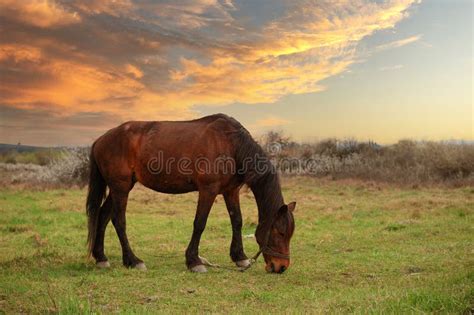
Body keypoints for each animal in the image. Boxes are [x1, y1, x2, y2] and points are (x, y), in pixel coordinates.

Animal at [84, 114, 292, 274]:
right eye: (280, 232)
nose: (281, 267)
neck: (230, 143)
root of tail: (100, 140)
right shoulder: (208, 190)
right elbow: (200, 223)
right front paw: (194, 261)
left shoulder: (231, 191)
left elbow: (237, 222)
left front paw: (240, 257)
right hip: (120, 187)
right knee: (118, 221)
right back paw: (133, 261)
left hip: (120, 187)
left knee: (103, 216)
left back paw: (101, 257)